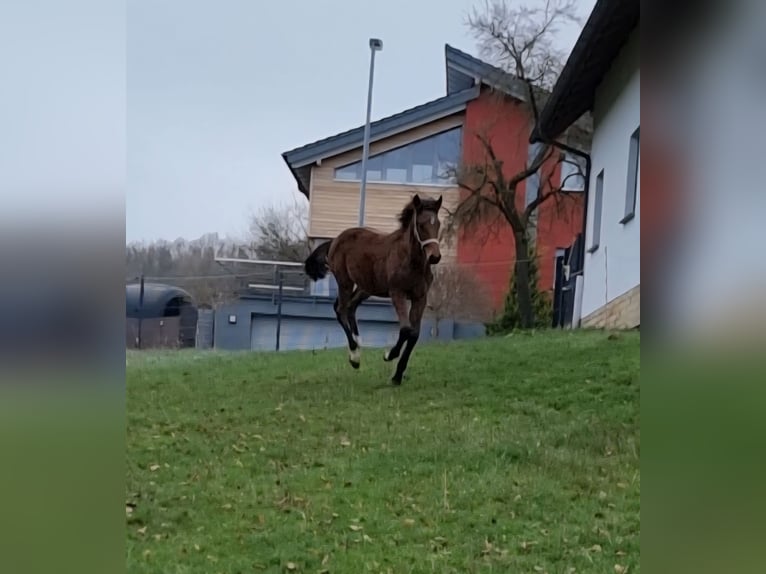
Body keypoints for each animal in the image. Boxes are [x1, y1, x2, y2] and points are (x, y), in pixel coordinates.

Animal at [303, 194, 443, 384]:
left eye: (438, 224)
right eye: (421, 225)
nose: (435, 257)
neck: (412, 261)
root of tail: (334, 241)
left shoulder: (420, 297)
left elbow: (414, 334)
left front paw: (397, 375)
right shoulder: (397, 293)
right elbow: (406, 329)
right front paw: (389, 355)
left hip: (365, 287)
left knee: (350, 307)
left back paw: (358, 342)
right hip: (345, 281)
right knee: (341, 309)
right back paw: (354, 356)